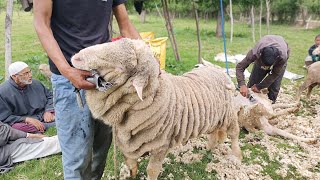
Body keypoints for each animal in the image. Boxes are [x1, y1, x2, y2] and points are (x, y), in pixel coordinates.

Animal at [71, 38, 241, 180]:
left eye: (120, 68)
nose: (76, 57)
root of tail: (216, 68)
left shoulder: (161, 145)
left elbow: (152, 170)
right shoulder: (128, 142)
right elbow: (130, 161)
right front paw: (132, 173)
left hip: (229, 115)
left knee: (234, 133)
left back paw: (237, 156)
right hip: (214, 117)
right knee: (214, 132)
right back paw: (210, 148)